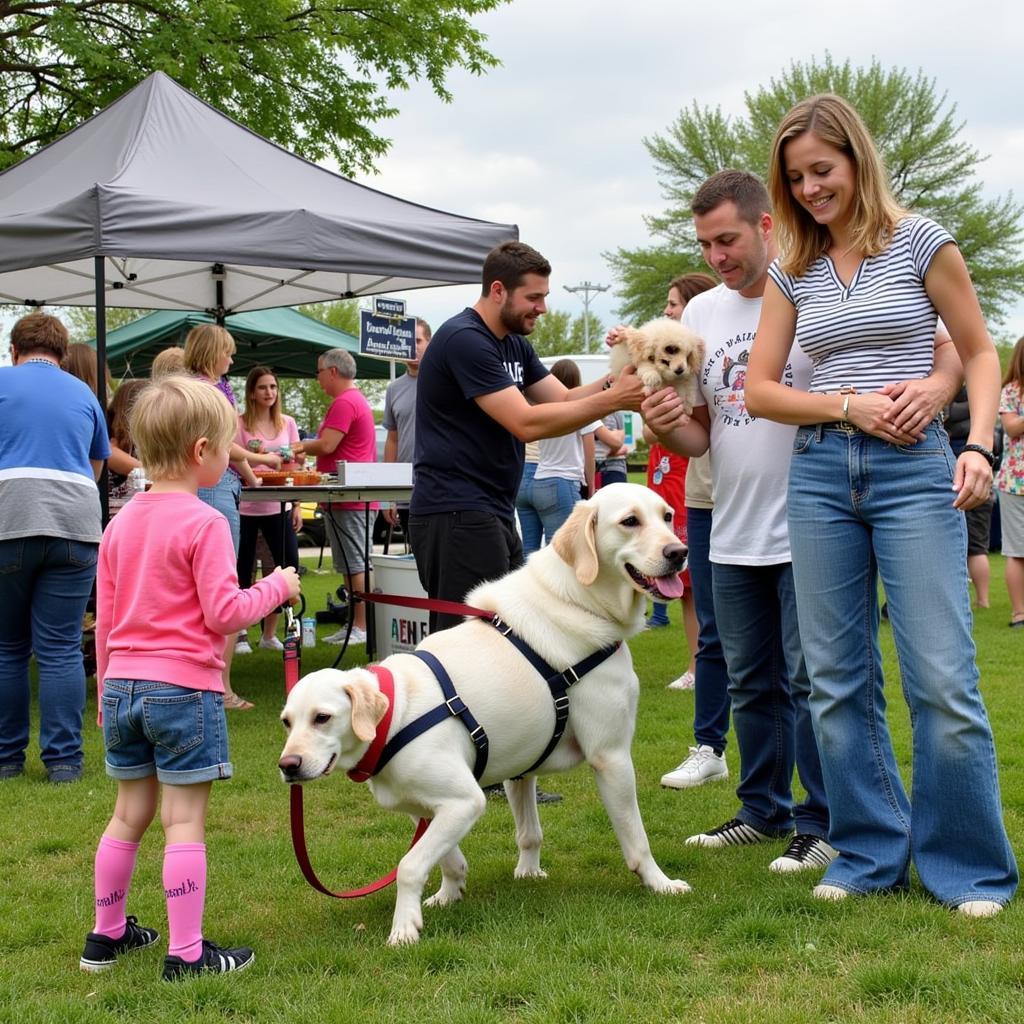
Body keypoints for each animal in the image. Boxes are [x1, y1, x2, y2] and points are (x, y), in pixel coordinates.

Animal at [282, 481, 688, 942]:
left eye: (667, 516)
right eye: (630, 521)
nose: (680, 552)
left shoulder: (572, 765)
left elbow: (618, 838)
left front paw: (657, 883)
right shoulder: (456, 799)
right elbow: (436, 857)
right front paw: (441, 898)